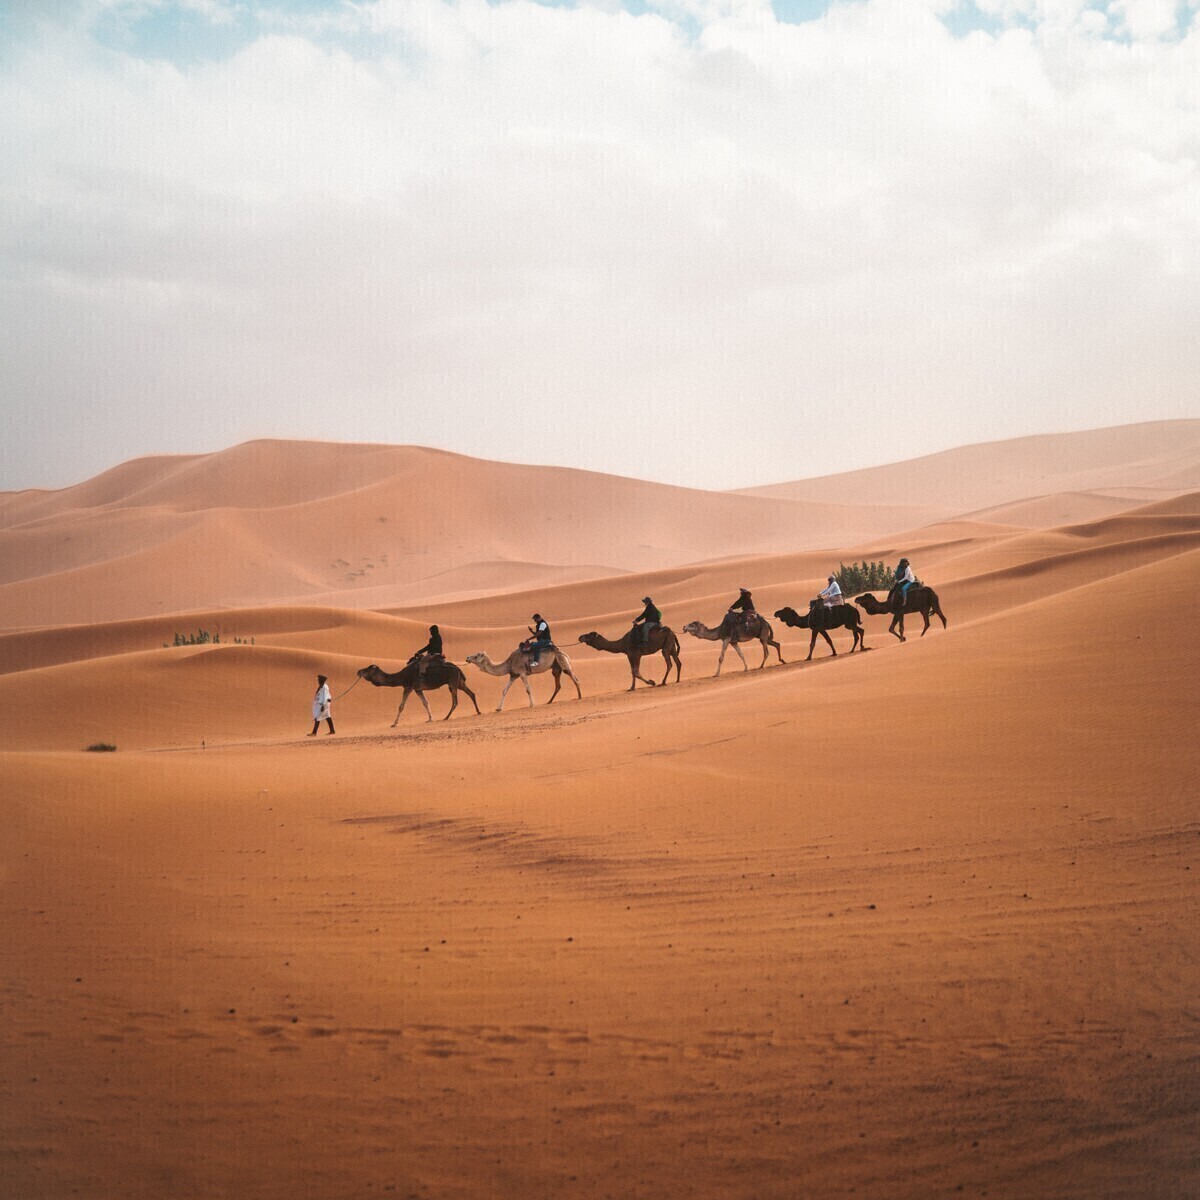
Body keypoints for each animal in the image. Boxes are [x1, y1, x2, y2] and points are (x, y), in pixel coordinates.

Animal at [352, 662, 480, 724]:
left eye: (367, 669)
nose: (358, 671)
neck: (401, 676)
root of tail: (458, 668)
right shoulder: (418, 689)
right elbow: (426, 703)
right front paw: (430, 719)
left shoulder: (408, 687)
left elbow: (401, 706)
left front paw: (394, 723)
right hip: (459, 682)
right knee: (471, 693)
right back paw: (478, 712)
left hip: (452, 682)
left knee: (455, 701)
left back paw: (446, 717)